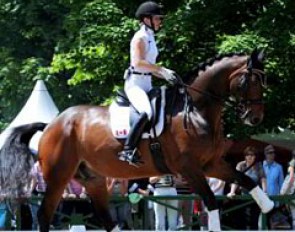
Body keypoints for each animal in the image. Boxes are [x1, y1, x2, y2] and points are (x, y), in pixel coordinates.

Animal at [0, 48, 272, 230]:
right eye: (249, 80)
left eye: (264, 80)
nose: (255, 118)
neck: (195, 111)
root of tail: (51, 125)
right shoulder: (190, 168)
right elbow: (212, 203)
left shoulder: (211, 164)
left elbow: (247, 181)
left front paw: (268, 206)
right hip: (58, 177)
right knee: (44, 215)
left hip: (93, 179)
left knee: (106, 218)